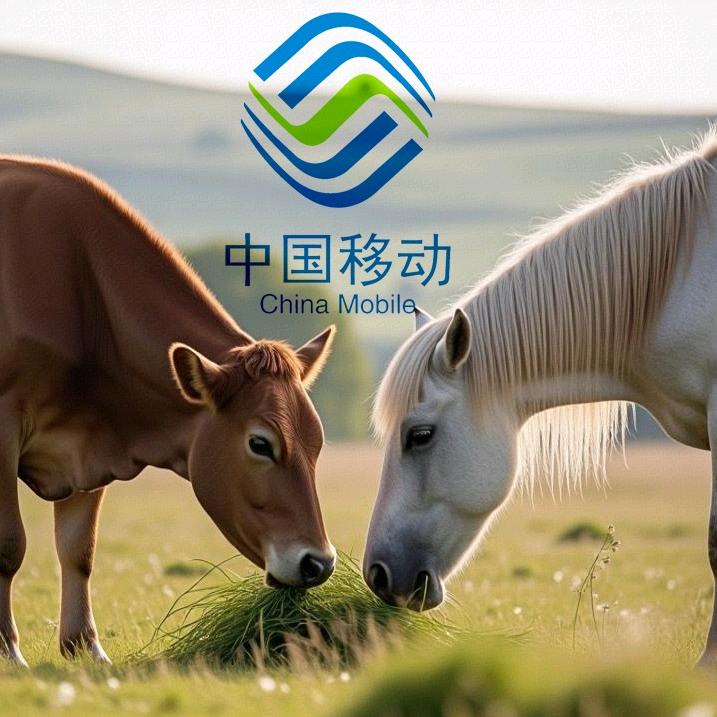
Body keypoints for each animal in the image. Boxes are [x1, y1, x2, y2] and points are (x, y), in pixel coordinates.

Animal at [0, 156, 337, 666]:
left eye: (317, 441)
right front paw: (8, 650)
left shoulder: (87, 443)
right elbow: (8, 544)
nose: (318, 562)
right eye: (261, 443)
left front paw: (85, 647)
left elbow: (79, 549)